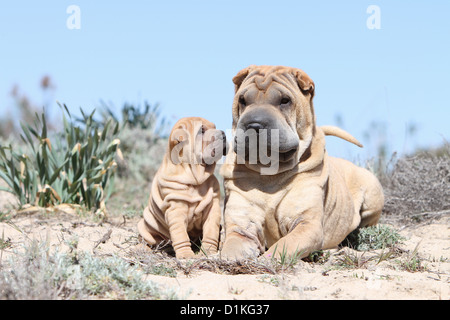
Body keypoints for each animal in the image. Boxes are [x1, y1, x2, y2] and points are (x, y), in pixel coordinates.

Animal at [137, 116, 227, 258]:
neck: (195, 178)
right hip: (145, 225)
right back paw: (143, 248)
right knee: (147, 239)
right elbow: (180, 235)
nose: (223, 134)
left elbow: (211, 231)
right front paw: (186, 254)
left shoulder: (213, 208)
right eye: (201, 130)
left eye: (215, 126)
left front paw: (209, 252)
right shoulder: (176, 209)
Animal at [220, 64, 384, 260]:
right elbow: (232, 245)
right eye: (243, 100)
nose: (254, 125)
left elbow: (284, 245)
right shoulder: (242, 225)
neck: (269, 174)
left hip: (372, 190)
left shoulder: (306, 224)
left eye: (284, 100)